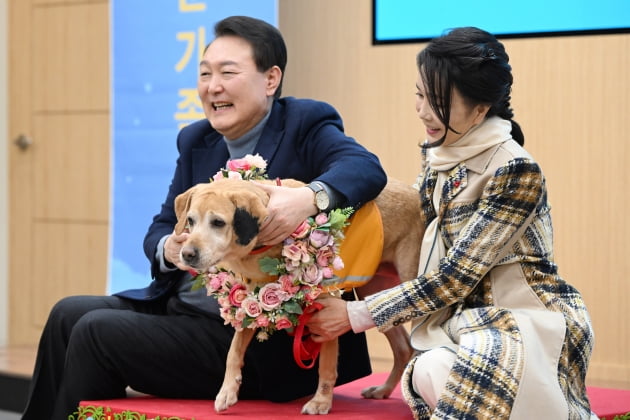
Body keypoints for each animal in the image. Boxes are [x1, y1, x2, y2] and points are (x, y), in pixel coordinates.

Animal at [175, 176, 428, 414]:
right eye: (190, 220)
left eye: (218, 222)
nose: (186, 254)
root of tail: (415, 194)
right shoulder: (250, 305)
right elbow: (233, 352)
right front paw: (227, 391)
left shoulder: (327, 313)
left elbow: (326, 366)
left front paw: (321, 402)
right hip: (376, 295)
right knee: (403, 347)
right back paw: (383, 390)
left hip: (409, 285)